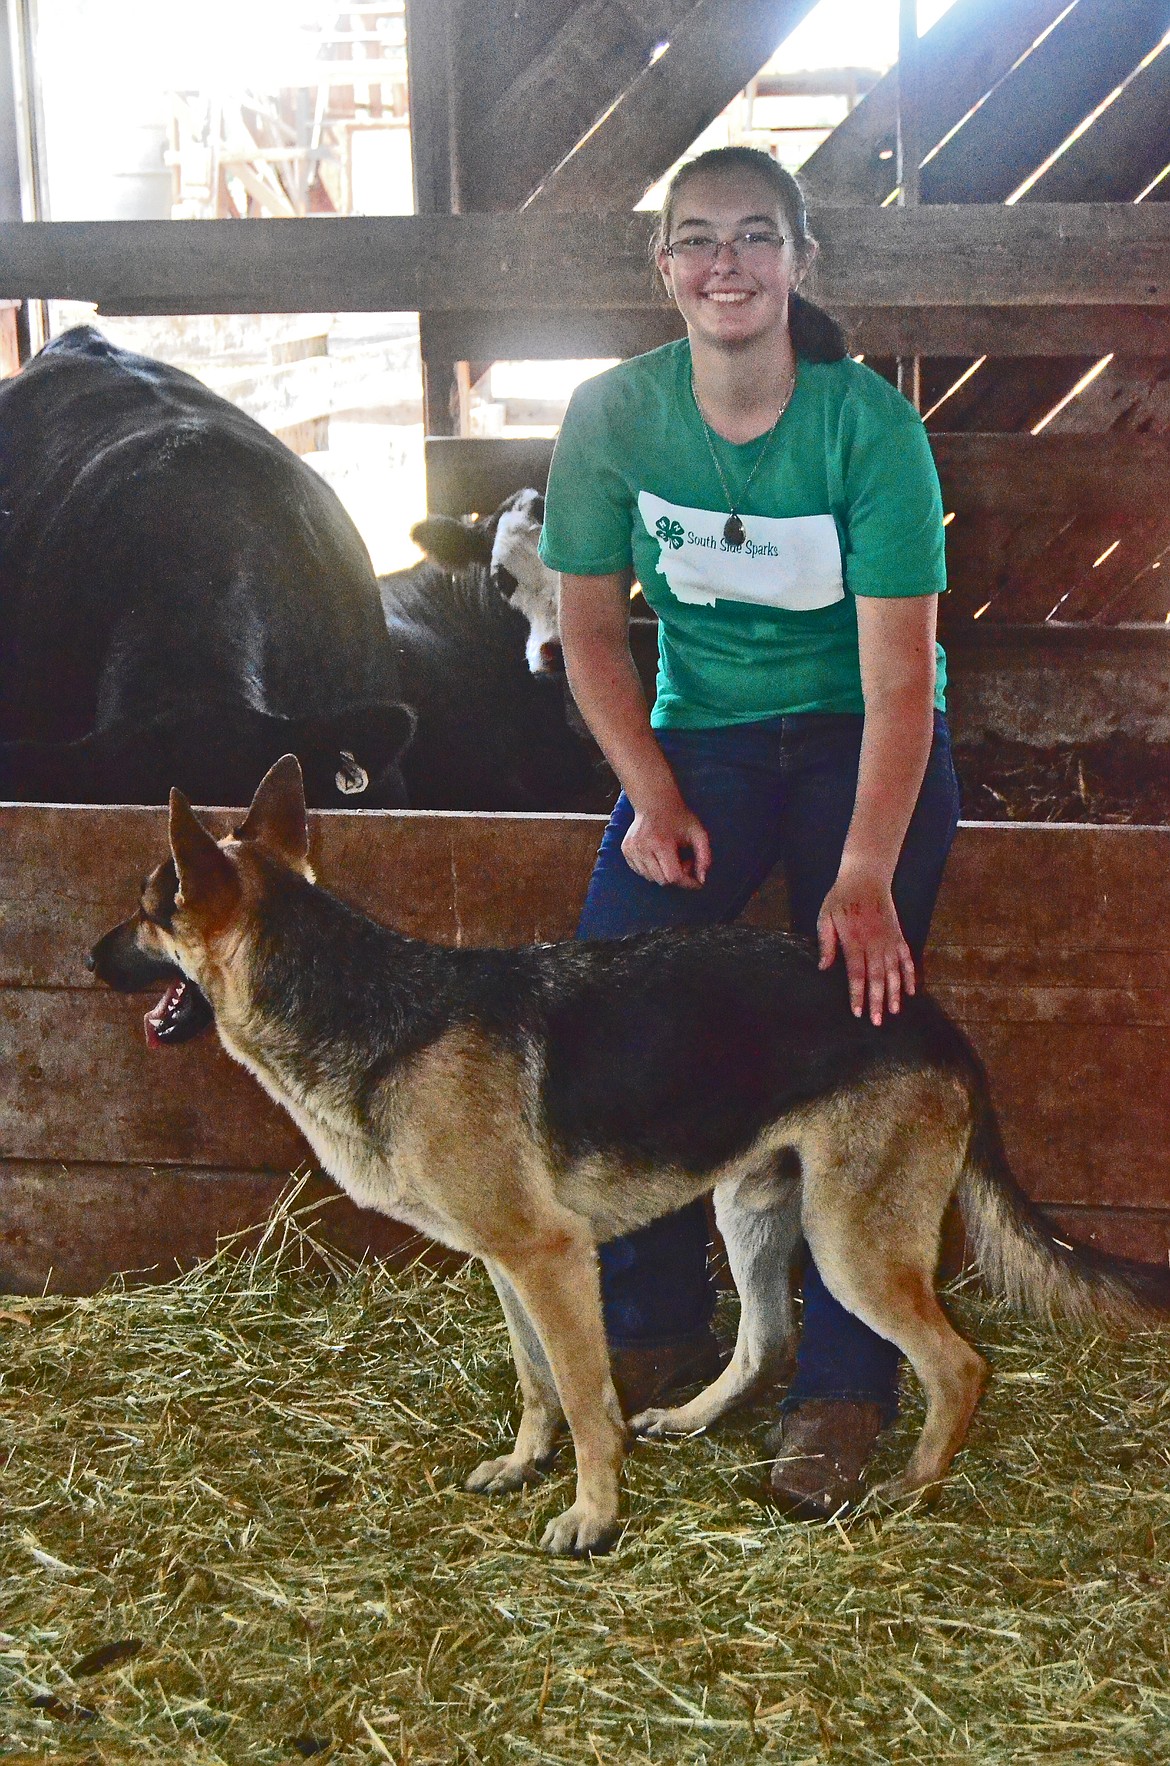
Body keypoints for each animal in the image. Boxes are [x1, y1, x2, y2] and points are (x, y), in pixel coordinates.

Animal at [89, 752, 1170, 1554]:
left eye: (149, 909)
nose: (86, 957)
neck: (360, 1004)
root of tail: (934, 1017)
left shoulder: (552, 1258)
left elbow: (580, 1390)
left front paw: (593, 1515)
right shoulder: (509, 1263)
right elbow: (537, 1380)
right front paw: (527, 1463)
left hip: (850, 1241)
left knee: (957, 1363)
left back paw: (914, 1486)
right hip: (753, 1206)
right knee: (766, 1334)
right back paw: (695, 1417)